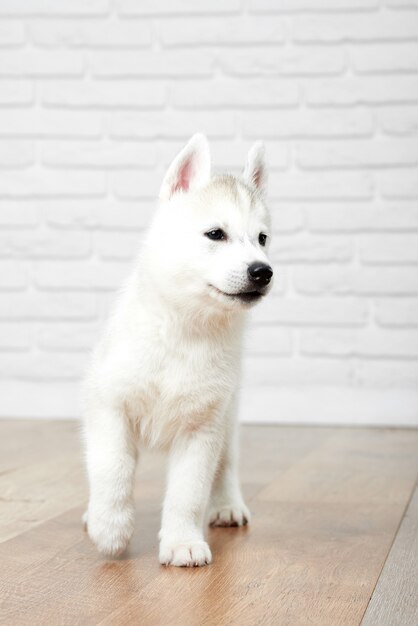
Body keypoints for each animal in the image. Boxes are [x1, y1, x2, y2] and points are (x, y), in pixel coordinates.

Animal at [83, 133, 274, 564]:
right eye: (216, 234)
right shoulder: (108, 405)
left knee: (227, 464)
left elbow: (189, 492)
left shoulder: (203, 428)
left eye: (262, 239)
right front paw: (110, 527)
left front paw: (182, 542)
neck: (185, 330)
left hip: (228, 416)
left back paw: (227, 504)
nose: (263, 271)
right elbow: (112, 468)